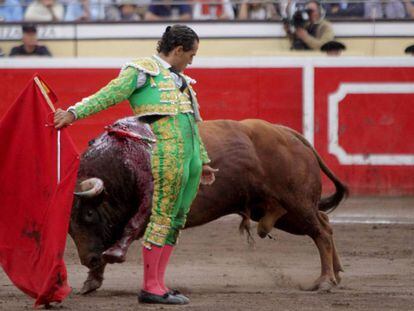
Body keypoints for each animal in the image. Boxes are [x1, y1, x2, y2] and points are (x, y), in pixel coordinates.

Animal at [69, 117, 348, 294]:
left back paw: (325, 281)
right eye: (69, 228)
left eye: (90, 214)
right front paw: (91, 282)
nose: (89, 260)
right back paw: (336, 274)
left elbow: (126, 232)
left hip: (297, 203)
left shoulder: (146, 207)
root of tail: (287, 133)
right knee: (324, 222)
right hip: (282, 213)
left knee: (321, 232)